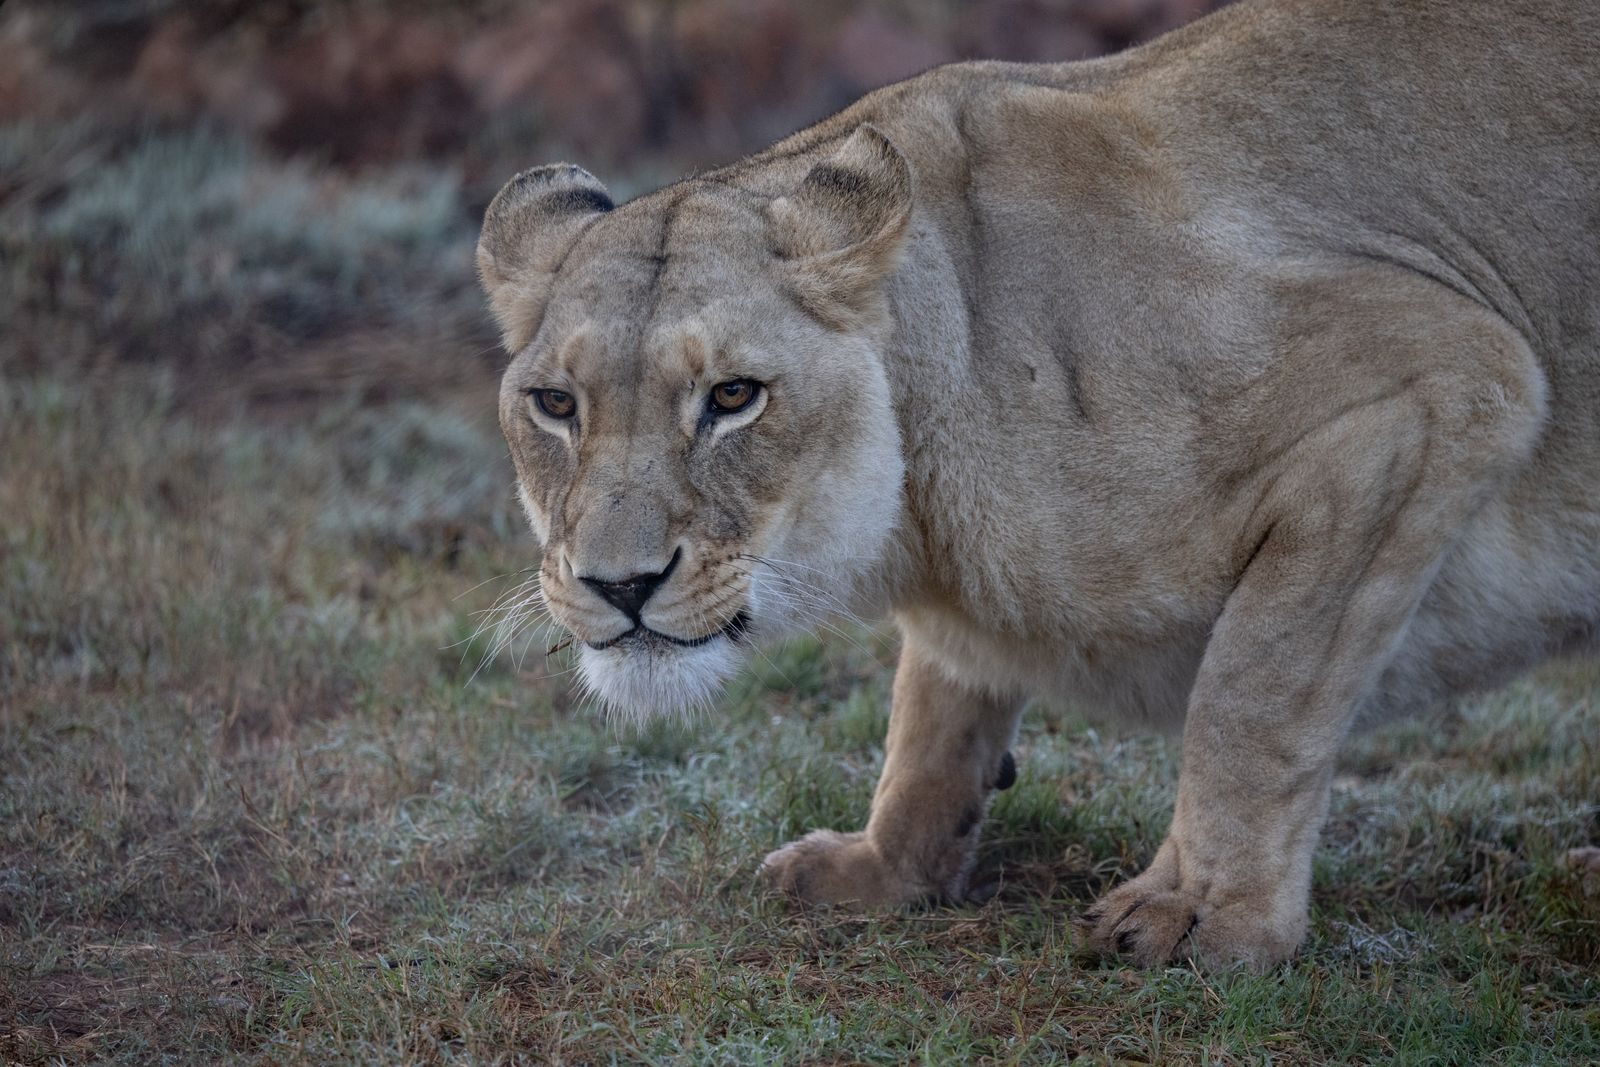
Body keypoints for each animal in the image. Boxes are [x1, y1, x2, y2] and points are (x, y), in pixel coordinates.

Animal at [475, 0, 1600, 969]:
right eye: (556, 405)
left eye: (734, 395)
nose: (619, 584)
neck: (918, 517)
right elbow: (932, 714)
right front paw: (883, 869)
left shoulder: (1442, 378)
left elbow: (1252, 695)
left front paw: (1207, 916)